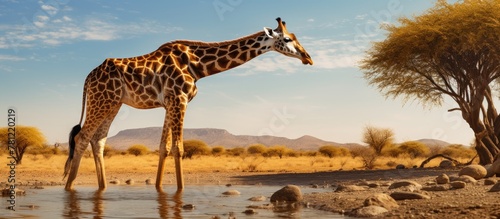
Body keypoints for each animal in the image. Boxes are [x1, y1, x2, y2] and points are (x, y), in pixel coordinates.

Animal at [62, 17, 312, 192]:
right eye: (287, 39)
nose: (308, 57)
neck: (199, 66)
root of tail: (88, 78)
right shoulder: (179, 99)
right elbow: (179, 148)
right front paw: (179, 192)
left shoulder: (169, 103)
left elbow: (164, 148)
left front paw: (159, 188)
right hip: (102, 100)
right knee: (82, 137)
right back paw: (69, 188)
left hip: (113, 103)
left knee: (98, 140)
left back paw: (102, 188)